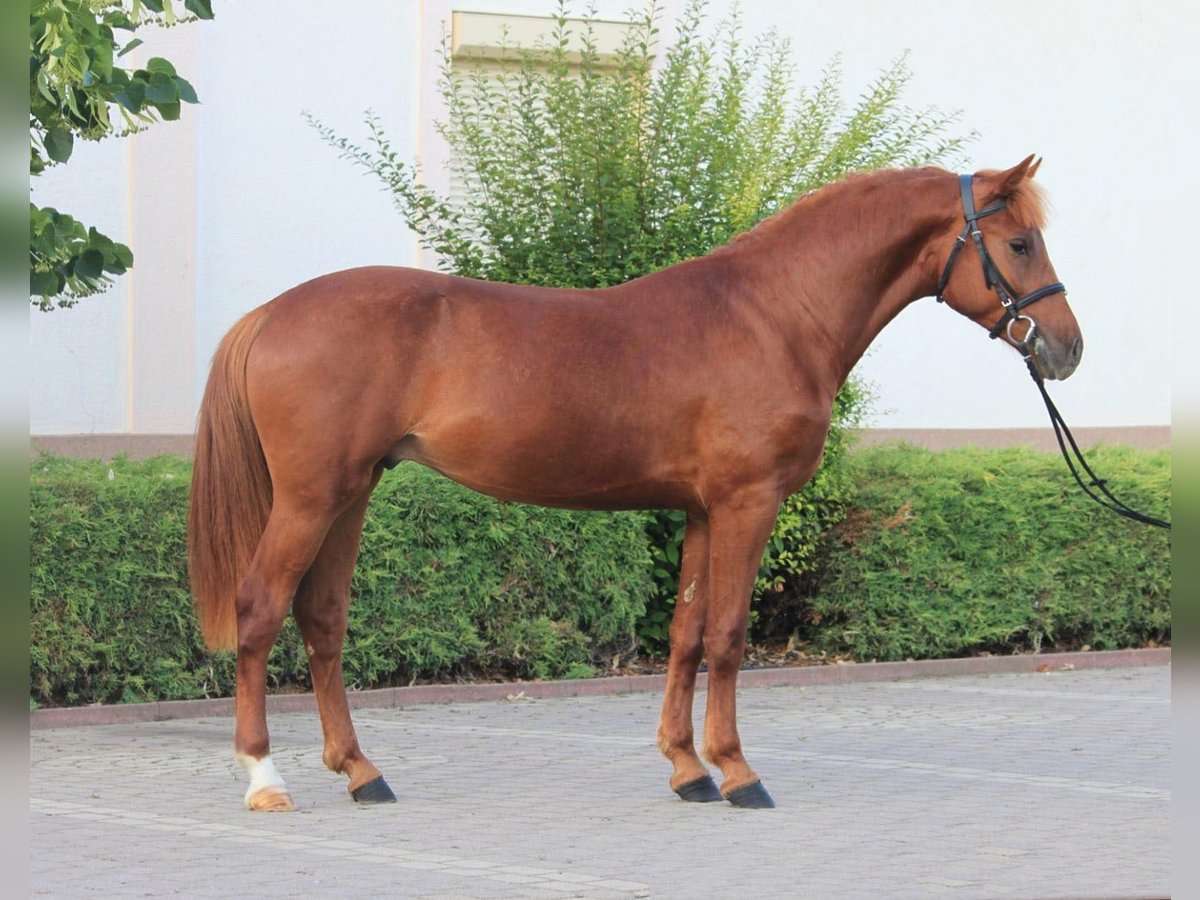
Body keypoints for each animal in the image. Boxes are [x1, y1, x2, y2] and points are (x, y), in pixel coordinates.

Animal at [189, 158, 1089, 816]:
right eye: (1018, 245)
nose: (1066, 348)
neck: (774, 314)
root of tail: (270, 314)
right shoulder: (747, 503)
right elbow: (727, 636)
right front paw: (738, 772)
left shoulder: (700, 510)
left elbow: (686, 635)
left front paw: (688, 769)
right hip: (310, 499)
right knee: (260, 610)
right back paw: (265, 779)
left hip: (351, 494)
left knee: (322, 619)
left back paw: (361, 771)